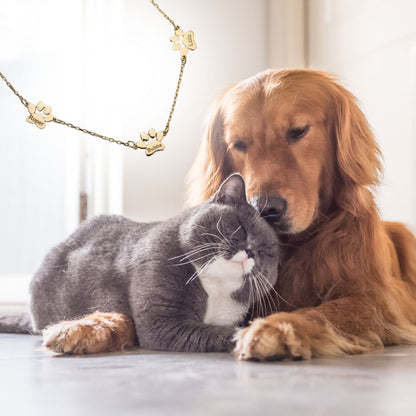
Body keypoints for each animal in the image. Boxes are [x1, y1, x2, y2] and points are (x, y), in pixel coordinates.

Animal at [0, 174, 280, 352]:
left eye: (266, 252)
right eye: (240, 228)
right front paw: (255, 336)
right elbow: (217, 333)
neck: (215, 289)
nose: (250, 252)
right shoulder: (164, 322)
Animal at [187, 69, 416, 360]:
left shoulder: (376, 300)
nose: (265, 208)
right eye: (238, 144)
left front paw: (277, 327)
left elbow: (322, 312)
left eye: (298, 131)